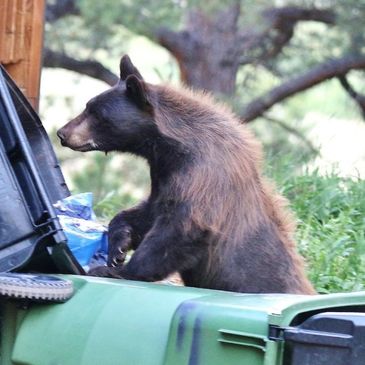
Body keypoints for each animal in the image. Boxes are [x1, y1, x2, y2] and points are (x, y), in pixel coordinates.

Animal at [58, 54, 314, 292]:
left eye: (96, 112)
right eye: (88, 106)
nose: (62, 133)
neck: (171, 148)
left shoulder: (201, 176)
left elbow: (180, 228)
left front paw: (118, 270)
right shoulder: (163, 175)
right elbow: (149, 211)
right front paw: (118, 246)